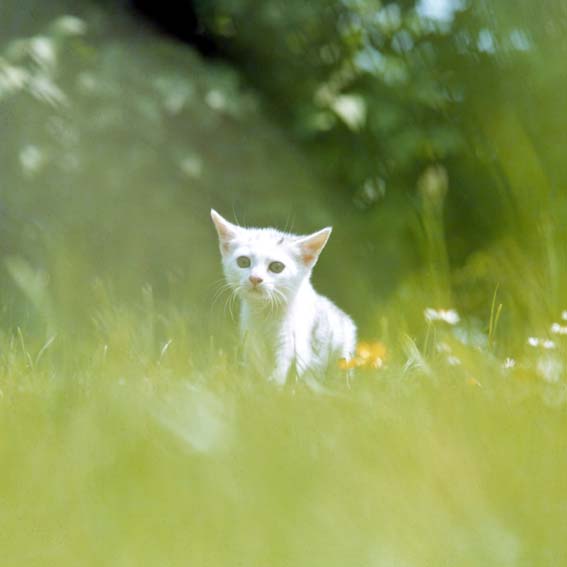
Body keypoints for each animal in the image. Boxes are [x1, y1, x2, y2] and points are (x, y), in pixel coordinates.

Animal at [211, 210, 358, 386]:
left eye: (276, 267)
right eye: (243, 261)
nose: (255, 278)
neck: (266, 313)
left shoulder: (297, 335)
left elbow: (286, 364)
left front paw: (276, 385)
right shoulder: (250, 336)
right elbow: (254, 366)